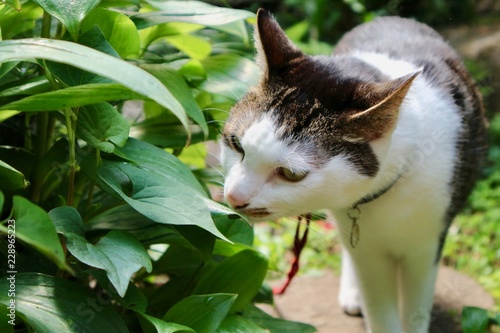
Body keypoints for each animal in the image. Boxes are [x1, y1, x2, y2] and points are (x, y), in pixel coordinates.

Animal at [221, 8, 486, 332]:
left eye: (292, 174)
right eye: (236, 144)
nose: (234, 197)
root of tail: (392, 18)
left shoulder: (426, 246)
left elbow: (416, 310)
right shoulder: (368, 253)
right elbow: (380, 309)